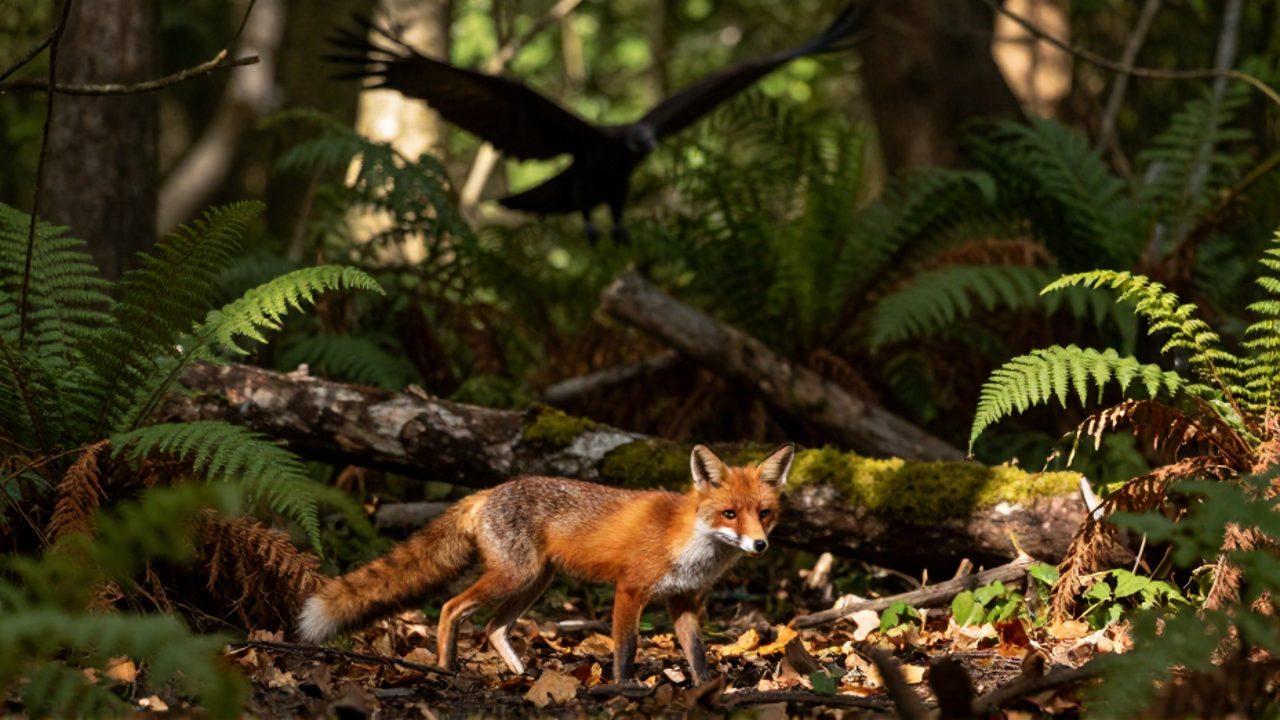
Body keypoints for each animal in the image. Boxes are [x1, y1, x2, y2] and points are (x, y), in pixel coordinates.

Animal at [297, 442, 794, 684]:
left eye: (764, 513)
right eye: (729, 513)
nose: (759, 545)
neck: (690, 542)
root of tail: (487, 491)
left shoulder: (685, 601)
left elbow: (697, 653)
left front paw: (709, 688)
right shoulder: (629, 590)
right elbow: (626, 647)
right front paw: (622, 688)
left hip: (535, 581)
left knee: (494, 626)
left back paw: (521, 676)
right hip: (514, 576)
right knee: (451, 608)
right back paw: (446, 669)